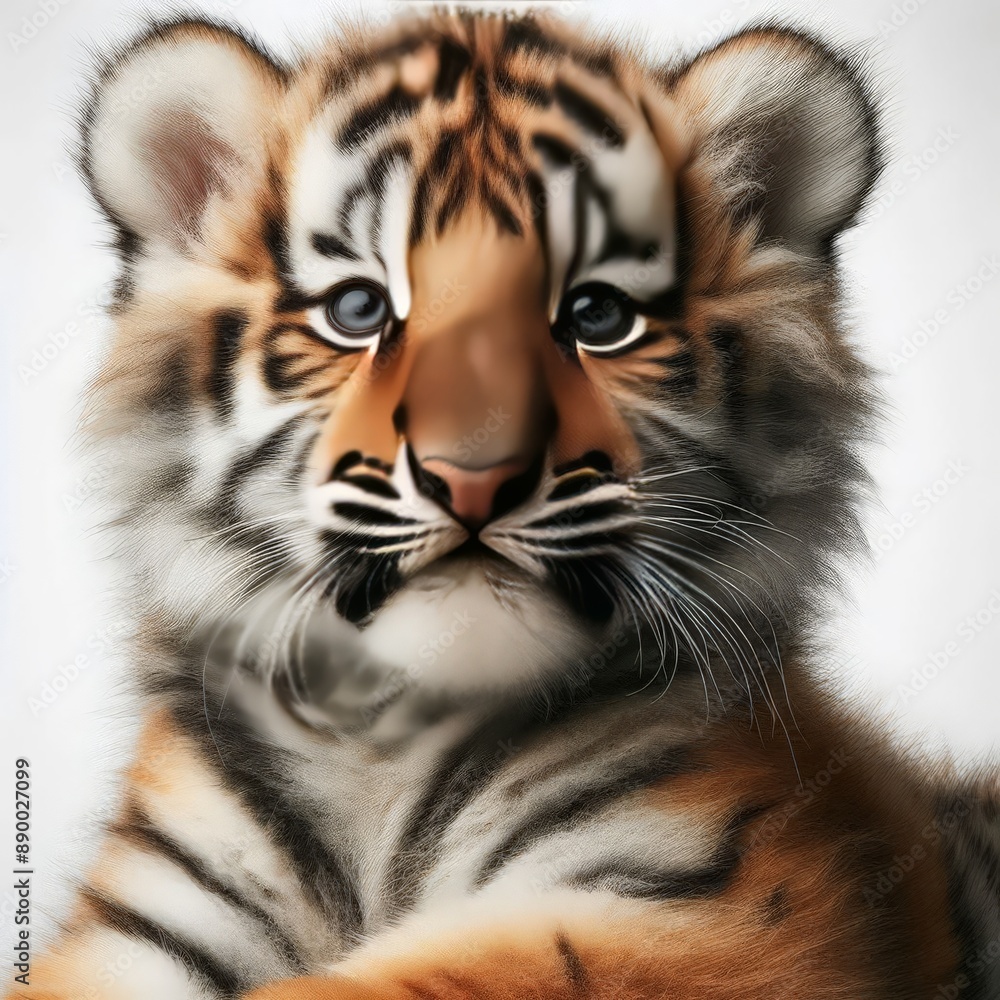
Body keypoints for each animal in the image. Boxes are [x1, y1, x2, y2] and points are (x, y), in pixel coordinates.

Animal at [15, 8, 999, 1000]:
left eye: (597, 316)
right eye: (359, 311)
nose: (475, 474)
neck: (381, 740)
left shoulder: (711, 913)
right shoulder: (142, 920)